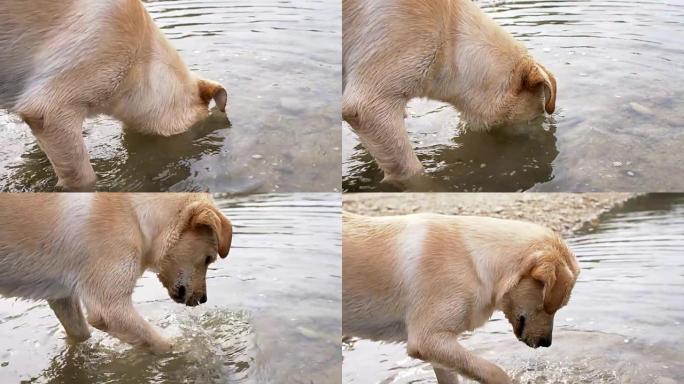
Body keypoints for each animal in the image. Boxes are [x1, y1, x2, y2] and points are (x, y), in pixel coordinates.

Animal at [0, 194, 232, 352]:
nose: (203, 299)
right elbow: (163, 343)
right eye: (209, 258)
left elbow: (80, 333)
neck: (135, 215)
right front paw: (190, 350)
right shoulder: (110, 309)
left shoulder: (62, 295)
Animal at [344, 213, 580, 384]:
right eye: (551, 307)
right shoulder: (427, 340)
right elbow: (495, 372)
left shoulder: (440, 348)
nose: (547, 343)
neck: (473, 262)